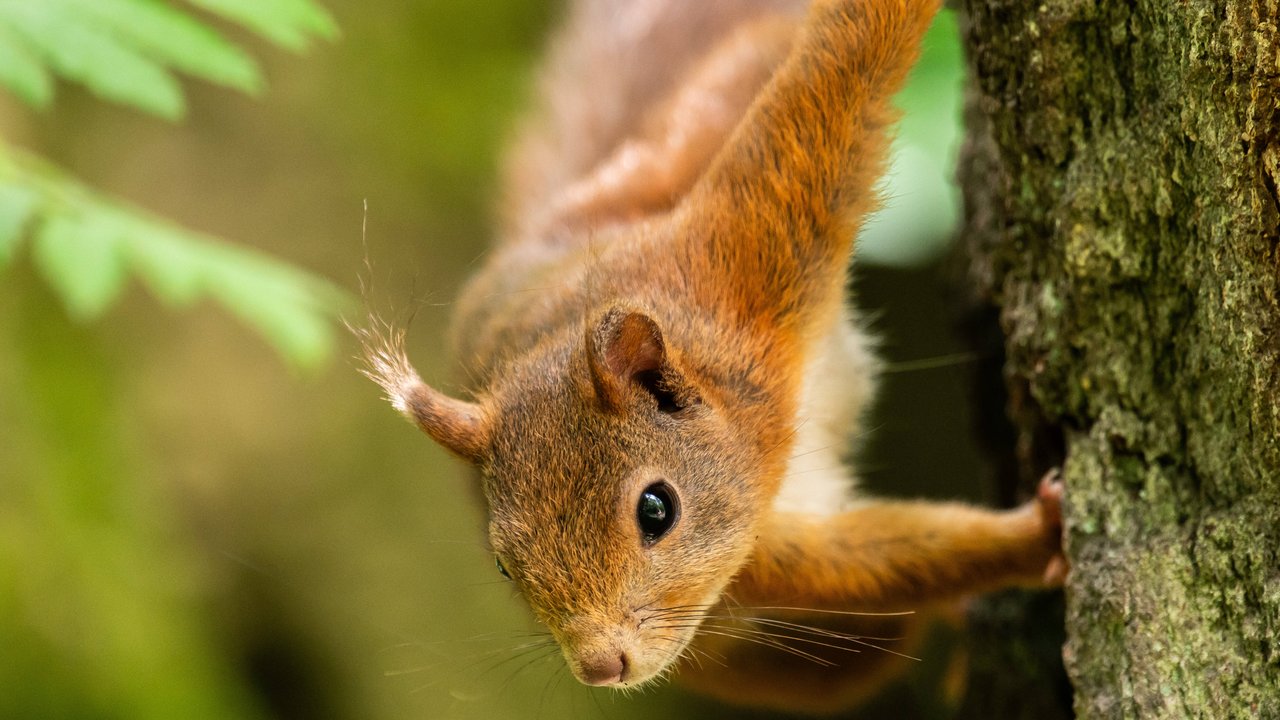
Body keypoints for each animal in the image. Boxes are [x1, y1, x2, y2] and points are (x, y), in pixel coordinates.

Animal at [355, 0, 1064, 707]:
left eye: (656, 509)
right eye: (503, 562)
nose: (600, 667)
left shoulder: (744, 255)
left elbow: (840, 79)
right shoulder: (753, 552)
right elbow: (870, 562)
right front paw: (1039, 537)